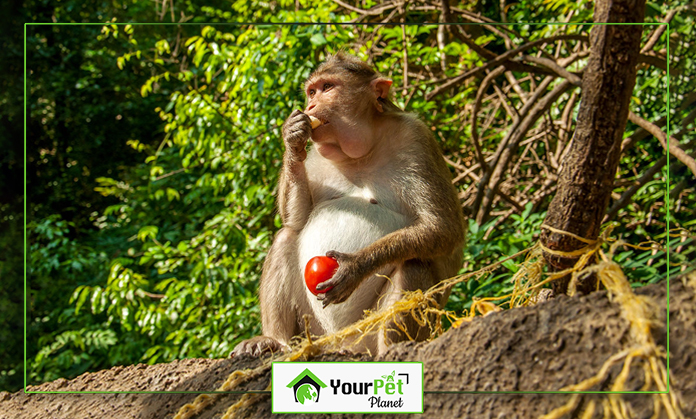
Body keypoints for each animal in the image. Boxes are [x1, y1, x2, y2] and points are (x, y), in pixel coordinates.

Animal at [234, 50, 468, 356]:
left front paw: (354, 268)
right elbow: (297, 218)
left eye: (327, 87)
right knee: (286, 236)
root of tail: (340, 343)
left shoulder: (416, 139)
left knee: (414, 263)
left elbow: (443, 227)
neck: (362, 150)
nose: (310, 105)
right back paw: (275, 340)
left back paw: (391, 352)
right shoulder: (317, 153)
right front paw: (291, 136)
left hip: (367, 333)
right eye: (311, 91)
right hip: (315, 332)